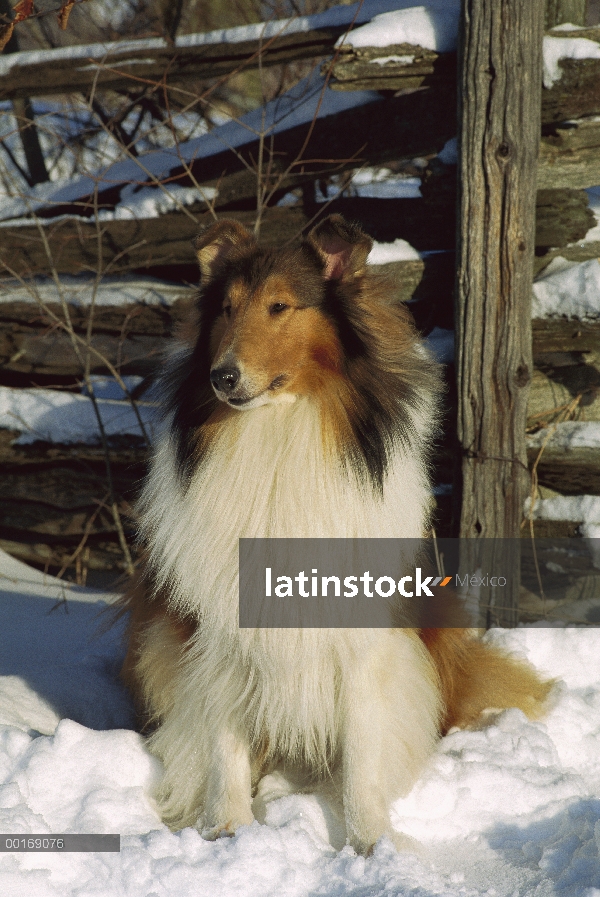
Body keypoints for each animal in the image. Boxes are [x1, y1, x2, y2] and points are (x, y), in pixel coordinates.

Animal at [122, 214, 552, 852]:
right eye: (225, 308)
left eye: (279, 305)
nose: (223, 377)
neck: (277, 438)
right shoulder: (217, 633)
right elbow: (223, 742)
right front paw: (228, 831)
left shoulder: (364, 639)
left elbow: (362, 754)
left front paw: (369, 845)